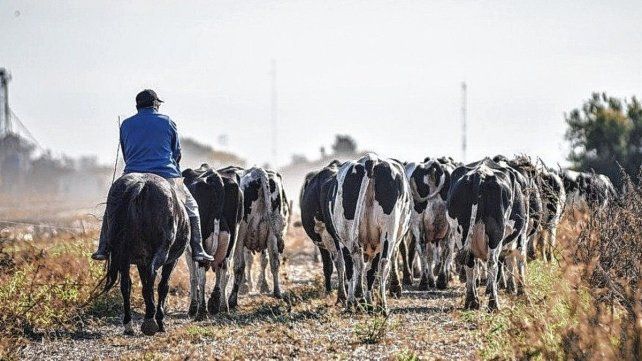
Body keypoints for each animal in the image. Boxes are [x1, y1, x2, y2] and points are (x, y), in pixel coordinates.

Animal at [182, 164, 242, 318]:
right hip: (232, 238)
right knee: (226, 270)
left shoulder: (188, 252)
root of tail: (215, 176)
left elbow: (193, 277)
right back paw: (223, 306)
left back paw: (201, 310)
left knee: (202, 276)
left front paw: (193, 307)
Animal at [228, 166, 288, 306]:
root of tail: (258, 171)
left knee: (239, 264)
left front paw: (245, 287)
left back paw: (232, 299)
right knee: (274, 262)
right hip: (273, 230)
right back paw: (277, 292)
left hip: (240, 231)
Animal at [324, 153, 410, 314]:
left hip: (350, 232)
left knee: (355, 264)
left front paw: (364, 302)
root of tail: (370, 159)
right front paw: (369, 303)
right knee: (381, 264)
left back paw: (358, 301)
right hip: (388, 231)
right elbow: (371, 271)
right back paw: (379, 305)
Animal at [448, 158, 528, 310]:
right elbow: (518, 261)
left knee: (470, 263)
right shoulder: (521, 237)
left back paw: (472, 301)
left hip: (460, 232)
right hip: (496, 232)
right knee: (493, 262)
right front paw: (521, 291)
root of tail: (480, 174)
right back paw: (493, 304)